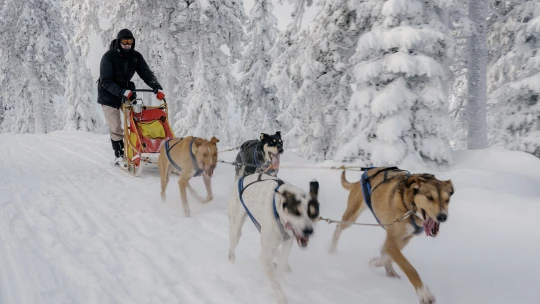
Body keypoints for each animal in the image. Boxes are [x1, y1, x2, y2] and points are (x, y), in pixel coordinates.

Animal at [228, 173, 320, 304]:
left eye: (313, 214)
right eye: (296, 212)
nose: (308, 231)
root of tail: (243, 177)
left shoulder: (287, 243)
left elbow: (281, 263)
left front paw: (280, 270)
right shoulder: (266, 255)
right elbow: (275, 281)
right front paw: (281, 297)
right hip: (236, 229)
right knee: (232, 245)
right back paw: (231, 261)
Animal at [332, 167, 454, 302]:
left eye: (447, 200)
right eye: (429, 197)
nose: (443, 216)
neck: (408, 207)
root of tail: (359, 180)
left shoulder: (404, 238)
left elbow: (385, 253)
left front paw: (377, 262)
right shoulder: (392, 243)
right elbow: (409, 268)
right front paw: (424, 293)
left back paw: (391, 273)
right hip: (351, 217)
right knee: (338, 227)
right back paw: (331, 250)